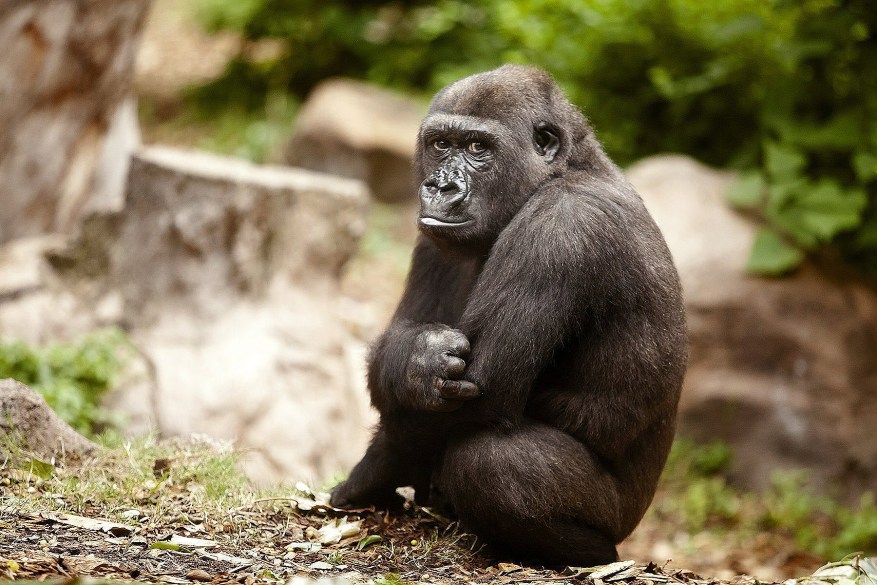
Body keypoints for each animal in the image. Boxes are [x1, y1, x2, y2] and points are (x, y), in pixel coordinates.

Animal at [332, 65, 688, 564]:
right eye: (441, 144)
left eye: (478, 149)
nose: (440, 187)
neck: (566, 168)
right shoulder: (434, 239)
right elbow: (404, 363)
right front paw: (412, 361)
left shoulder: (560, 228)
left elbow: (481, 393)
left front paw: (370, 475)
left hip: (620, 517)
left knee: (487, 460)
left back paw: (582, 551)